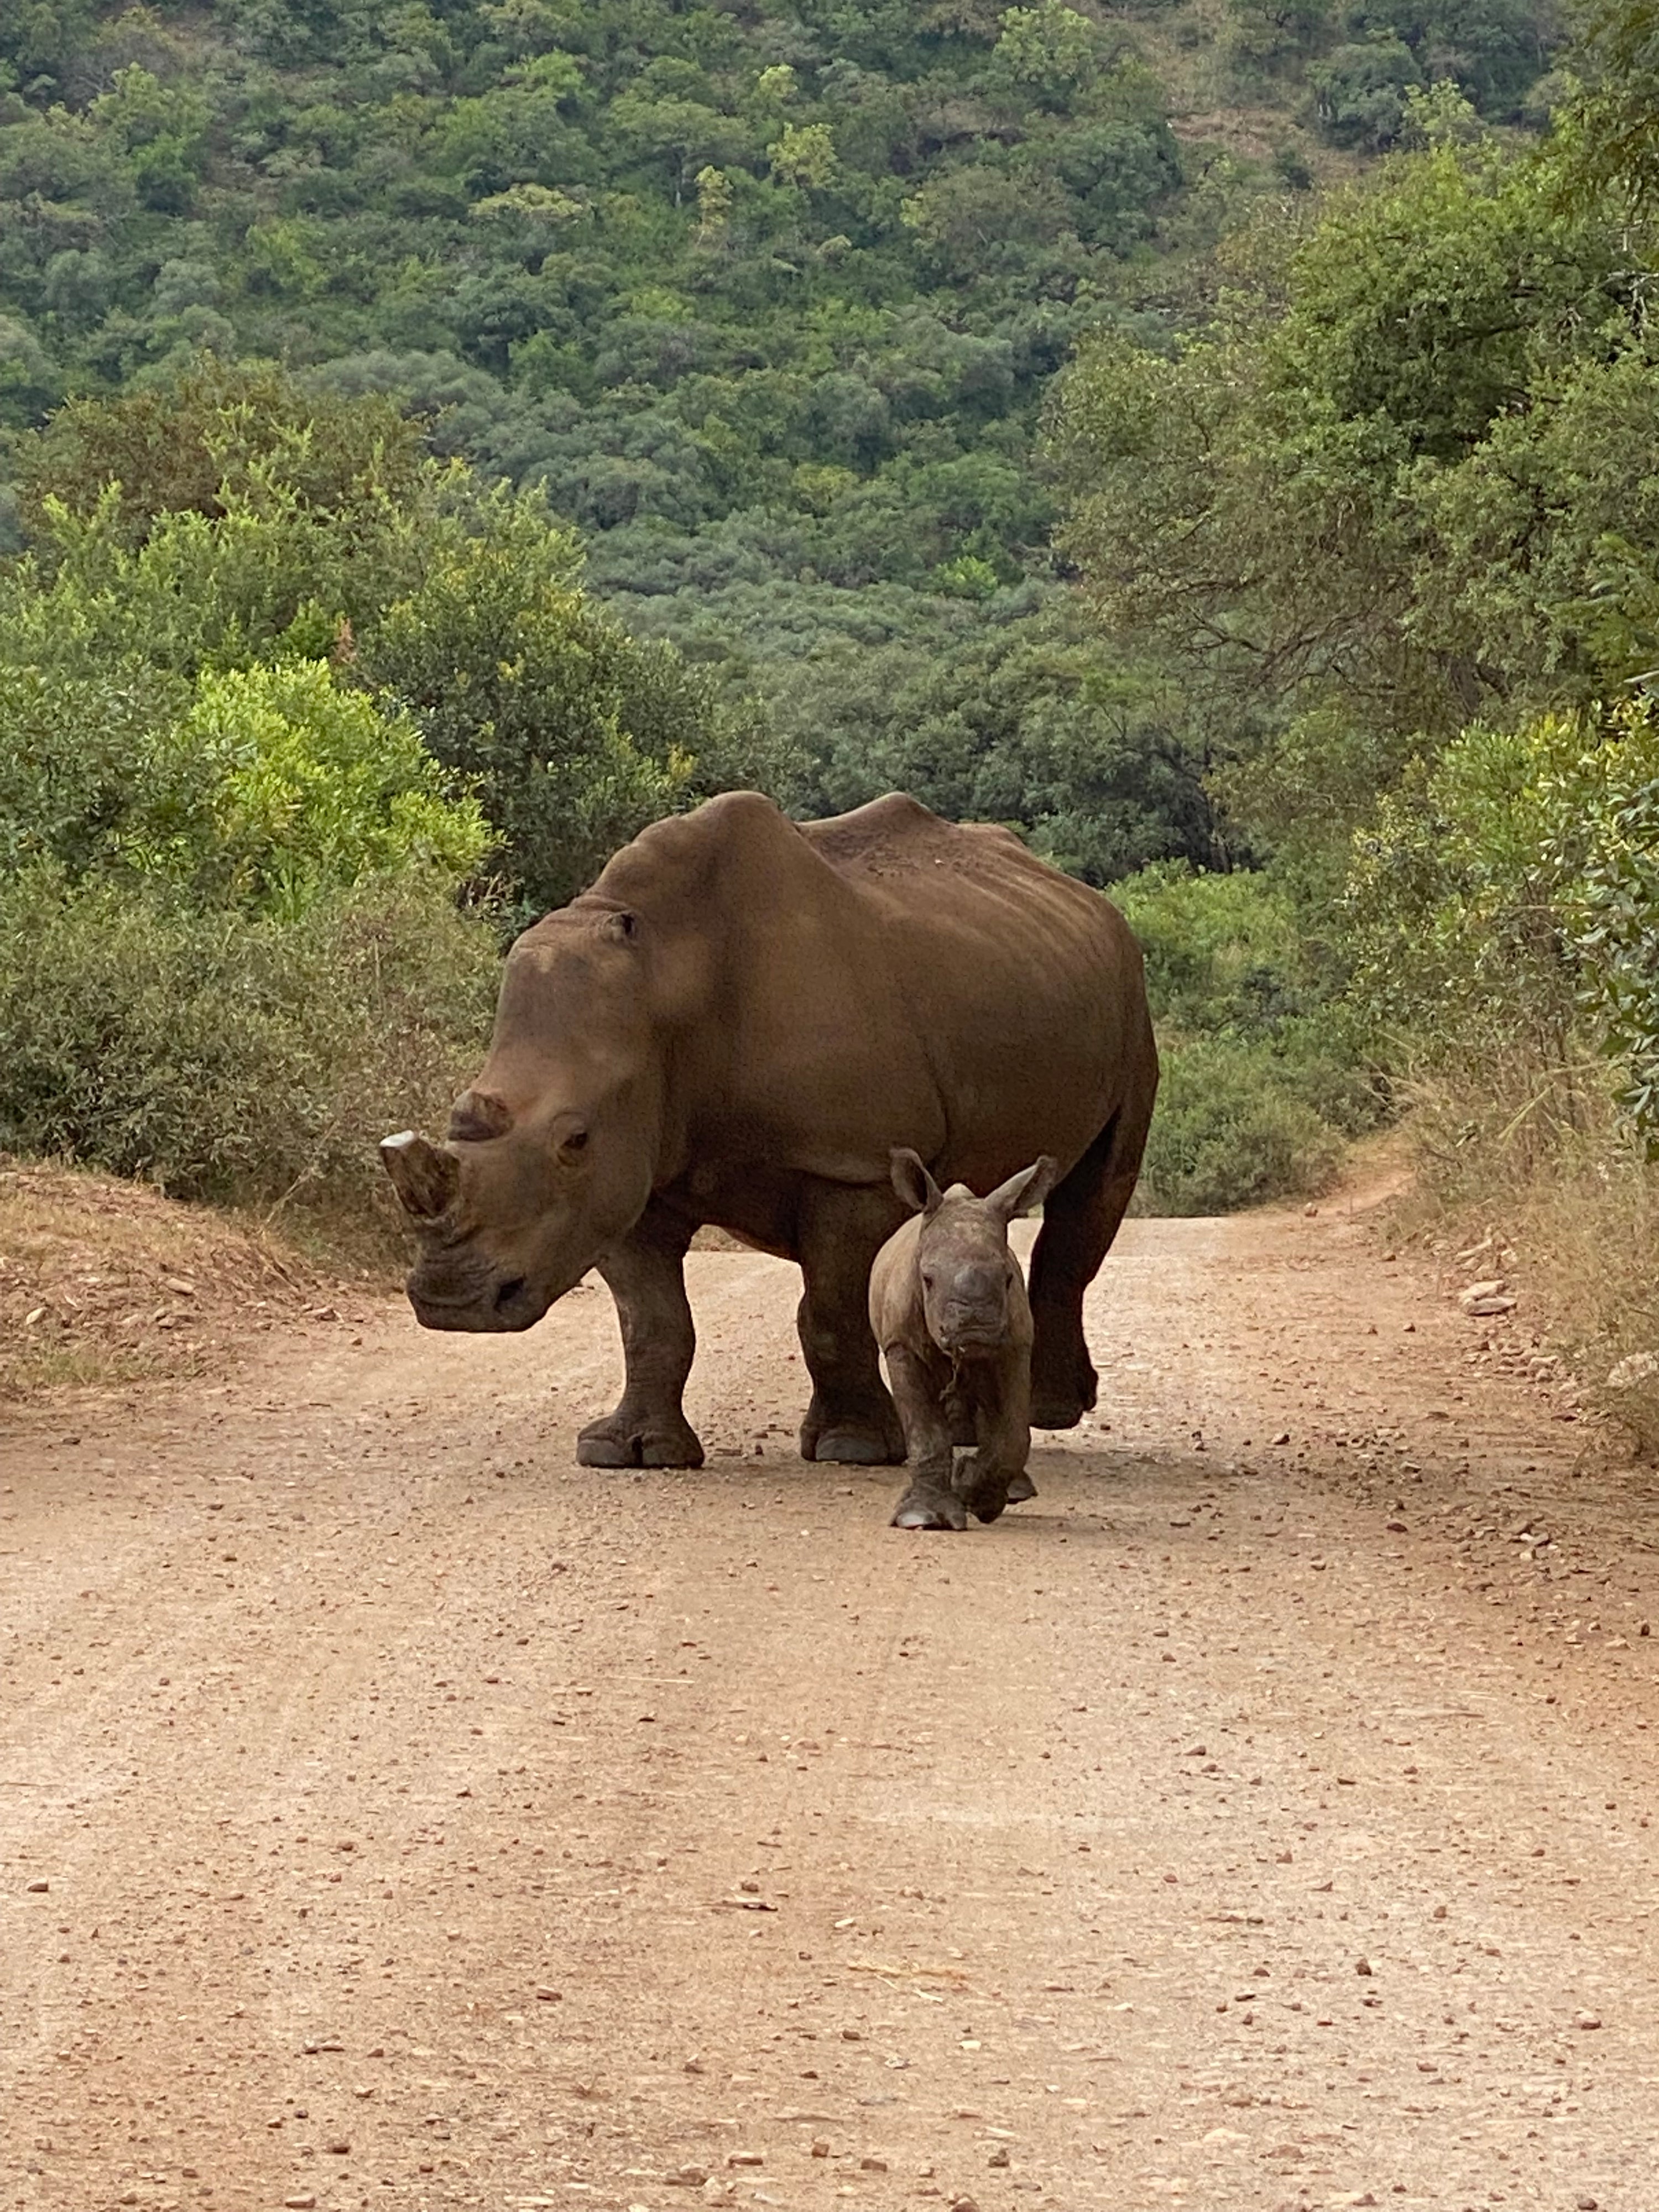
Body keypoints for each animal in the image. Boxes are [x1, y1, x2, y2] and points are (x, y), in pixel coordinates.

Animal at [380, 791, 1157, 1471]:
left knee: (1092, 1194)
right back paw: (972, 1424)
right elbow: (651, 1322)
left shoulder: (849, 1164)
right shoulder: (628, 1170)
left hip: (1131, 996)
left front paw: (853, 1448)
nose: (453, 1302)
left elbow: (832, 1312)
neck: (665, 984)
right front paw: (626, 1452)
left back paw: (1046, 1414)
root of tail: (1086, 898)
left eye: (574, 1140)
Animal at [870, 1149, 1057, 1531]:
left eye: (1008, 1280)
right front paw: (922, 1517)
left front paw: (976, 1496)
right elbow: (925, 1433)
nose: (975, 1331)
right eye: (927, 1280)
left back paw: (1009, 1491)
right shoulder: (900, 1345)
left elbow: (1013, 1434)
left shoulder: (1014, 1346)